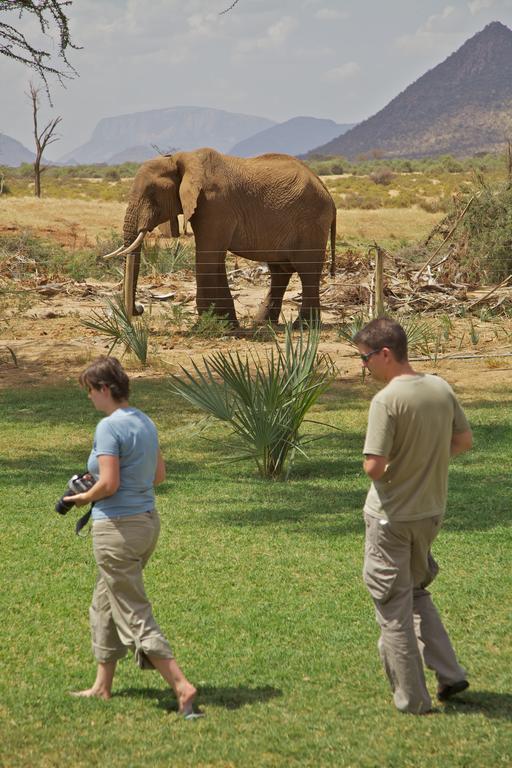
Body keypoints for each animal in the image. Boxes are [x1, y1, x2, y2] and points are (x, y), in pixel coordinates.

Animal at [116, 147, 340, 324]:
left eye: (151, 194)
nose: (139, 309)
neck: (182, 158)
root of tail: (328, 194)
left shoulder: (215, 205)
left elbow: (207, 258)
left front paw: (206, 324)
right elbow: (215, 260)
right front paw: (227, 323)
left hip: (311, 223)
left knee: (307, 270)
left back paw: (303, 326)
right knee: (280, 270)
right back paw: (261, 323)